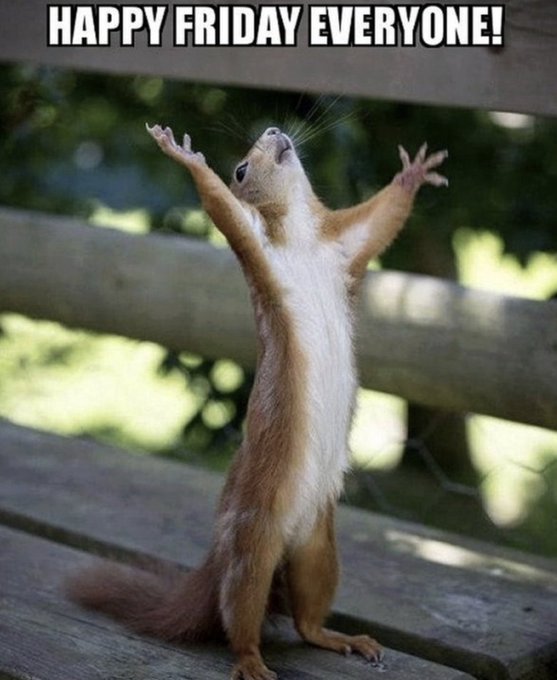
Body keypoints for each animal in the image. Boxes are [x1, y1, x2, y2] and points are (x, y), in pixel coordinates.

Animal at [68, 122, 447, 680]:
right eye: (241, 169)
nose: (273, 130)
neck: (303, 237)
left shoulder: (344, 245)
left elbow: (381, 219)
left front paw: (414, 173)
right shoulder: (256, 244)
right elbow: (221, 207)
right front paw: (185, 157)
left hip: (318, 549)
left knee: (307, 619)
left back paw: (341, 637)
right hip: (252, 546)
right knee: (240, 614)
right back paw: (250, 661)